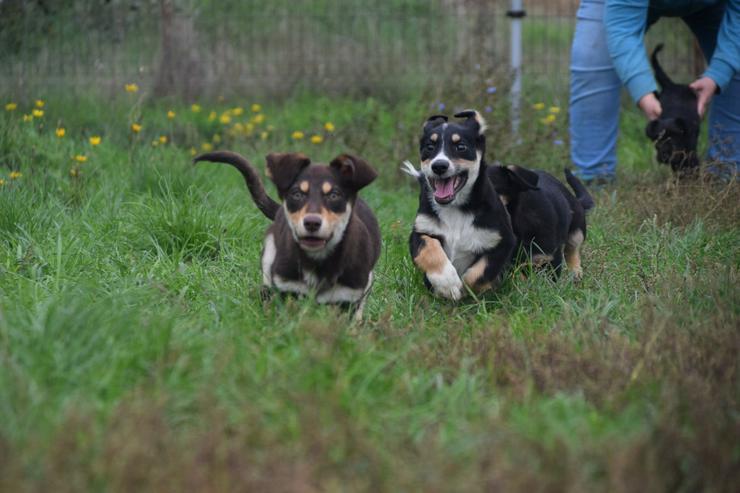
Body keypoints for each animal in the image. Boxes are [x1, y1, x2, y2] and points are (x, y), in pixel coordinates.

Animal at [195, 151, 382, 320]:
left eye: (334, 195)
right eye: (297, 194)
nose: (312, 222)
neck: (317, 261)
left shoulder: (347, 297)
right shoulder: (286, 287)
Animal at [402, 110, 516, 300]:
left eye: (461, 147)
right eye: (430, 147)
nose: (439, 166)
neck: (455, 209)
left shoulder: (503, 241)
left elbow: (478, 274)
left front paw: (465, 289)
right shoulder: (421, 232)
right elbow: (430, 251)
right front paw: (447, 284)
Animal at [648, 43, 700, 173]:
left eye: (675, 136)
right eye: (658, 138)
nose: (665, 155)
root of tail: (671, 85)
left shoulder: (690, 148)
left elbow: (691, 162)